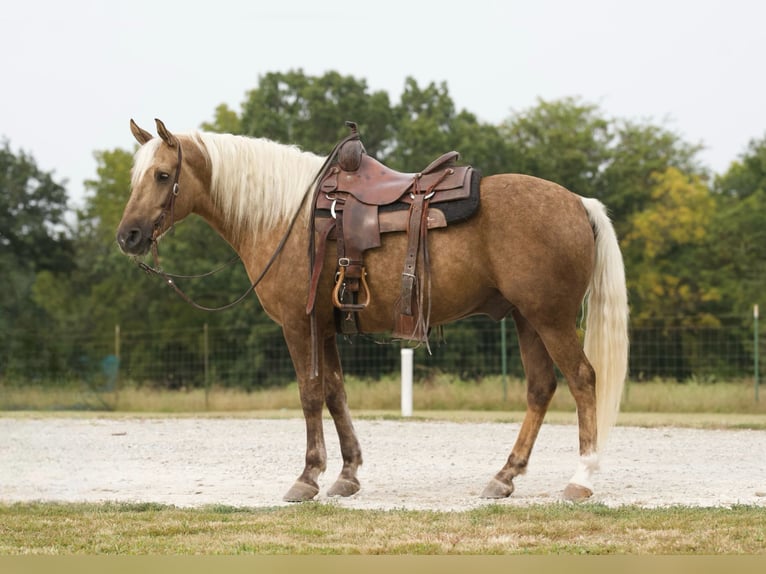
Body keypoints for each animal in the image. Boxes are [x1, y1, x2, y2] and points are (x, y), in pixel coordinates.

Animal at [117, 118, 629, 503]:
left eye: (162, 175)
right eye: (136, 176)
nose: (128, 236)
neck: (286, 218)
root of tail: (577, 202)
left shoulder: (298, 325)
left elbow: (310, 393)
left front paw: (307, 477)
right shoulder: (325, 326)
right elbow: (336, 393)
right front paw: (347, 475)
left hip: (551, 319)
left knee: (582, 380)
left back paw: (581, 479)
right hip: (527, 319)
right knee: (541, 387)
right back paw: (504, 477)